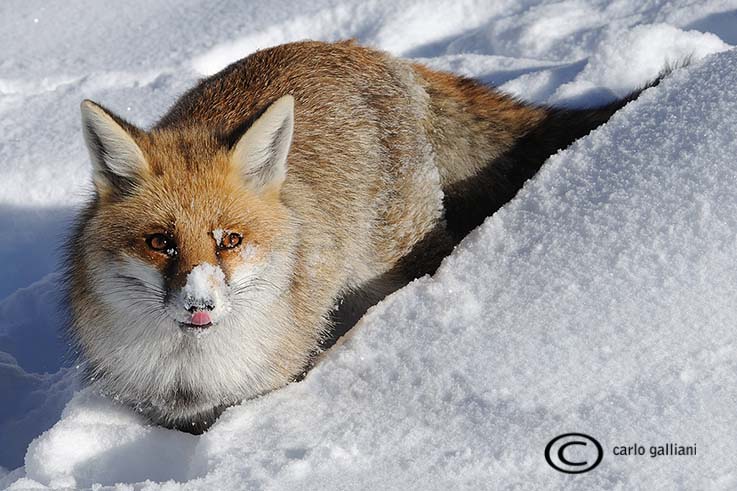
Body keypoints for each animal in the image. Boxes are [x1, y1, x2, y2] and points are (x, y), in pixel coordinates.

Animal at [66, 39, 660, 434]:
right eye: (160, 242)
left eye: (229, 240)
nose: (199, 306)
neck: (187, 373)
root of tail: (373, 53)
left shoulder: (264, 385)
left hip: (397, 262)